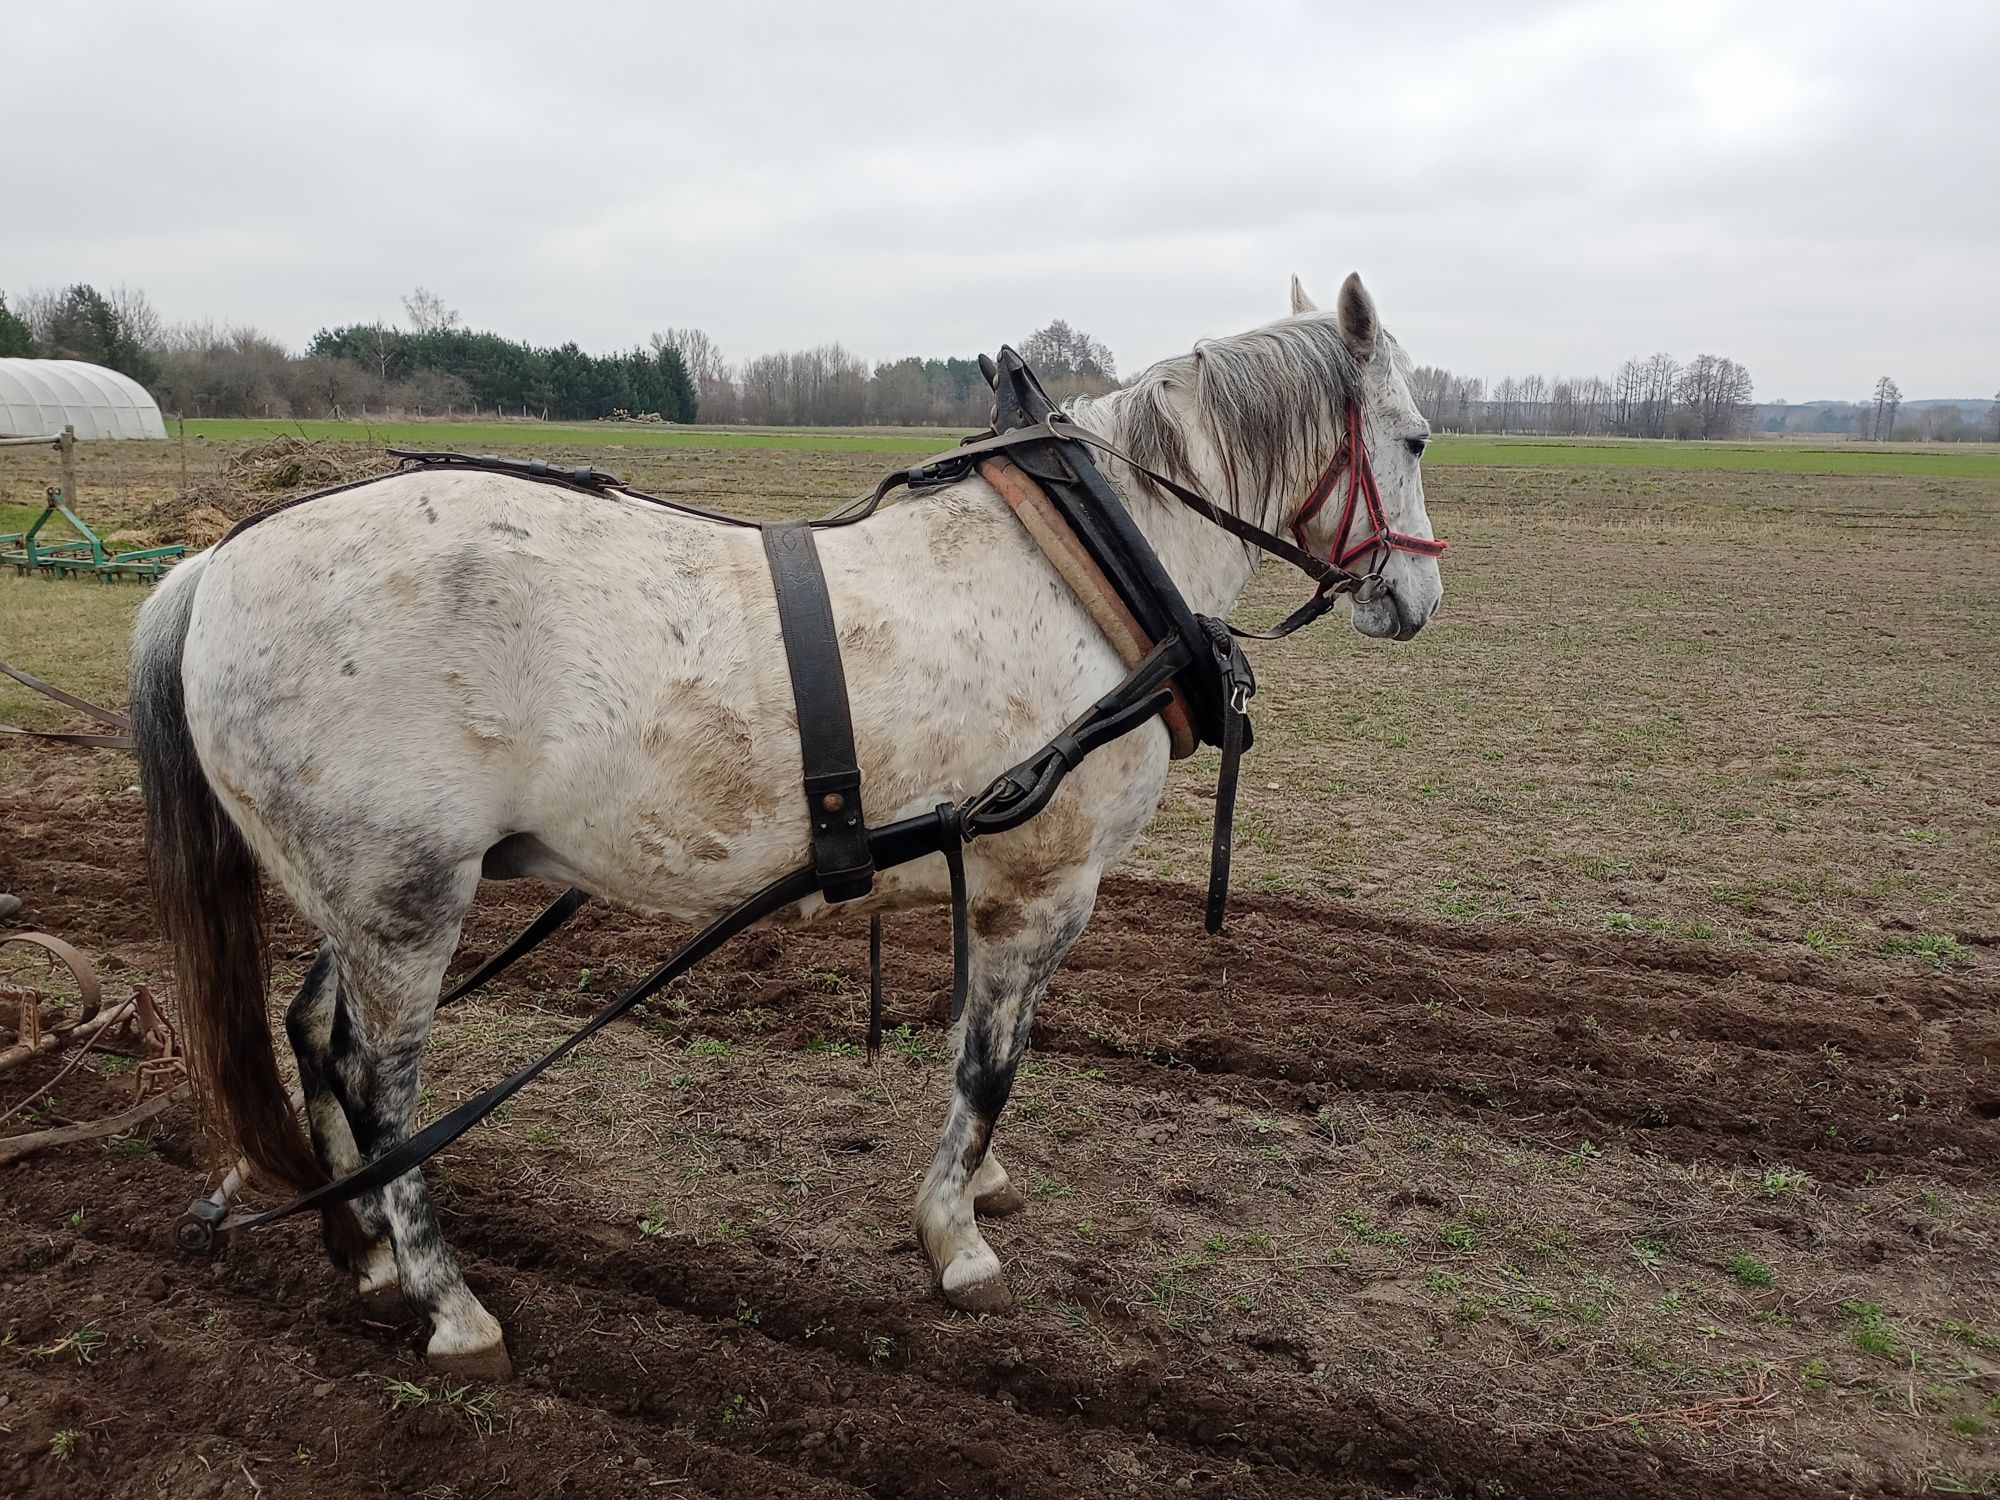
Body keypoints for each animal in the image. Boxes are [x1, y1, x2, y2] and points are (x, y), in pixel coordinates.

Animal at [137, 270, 1440, 1376]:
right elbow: (991, 1062)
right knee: (378, 1081)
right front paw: (953, 1236)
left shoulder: (989, 878)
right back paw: (450, 1305)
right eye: (1419, 438)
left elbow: (969, 1043)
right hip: (406, 897)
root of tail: (214, 565)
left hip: (358, 892)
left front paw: (982, 1186)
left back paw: (359, 1247)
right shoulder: (1043, 886)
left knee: (312, 1036)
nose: (1418, 598)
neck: (1092, 565)